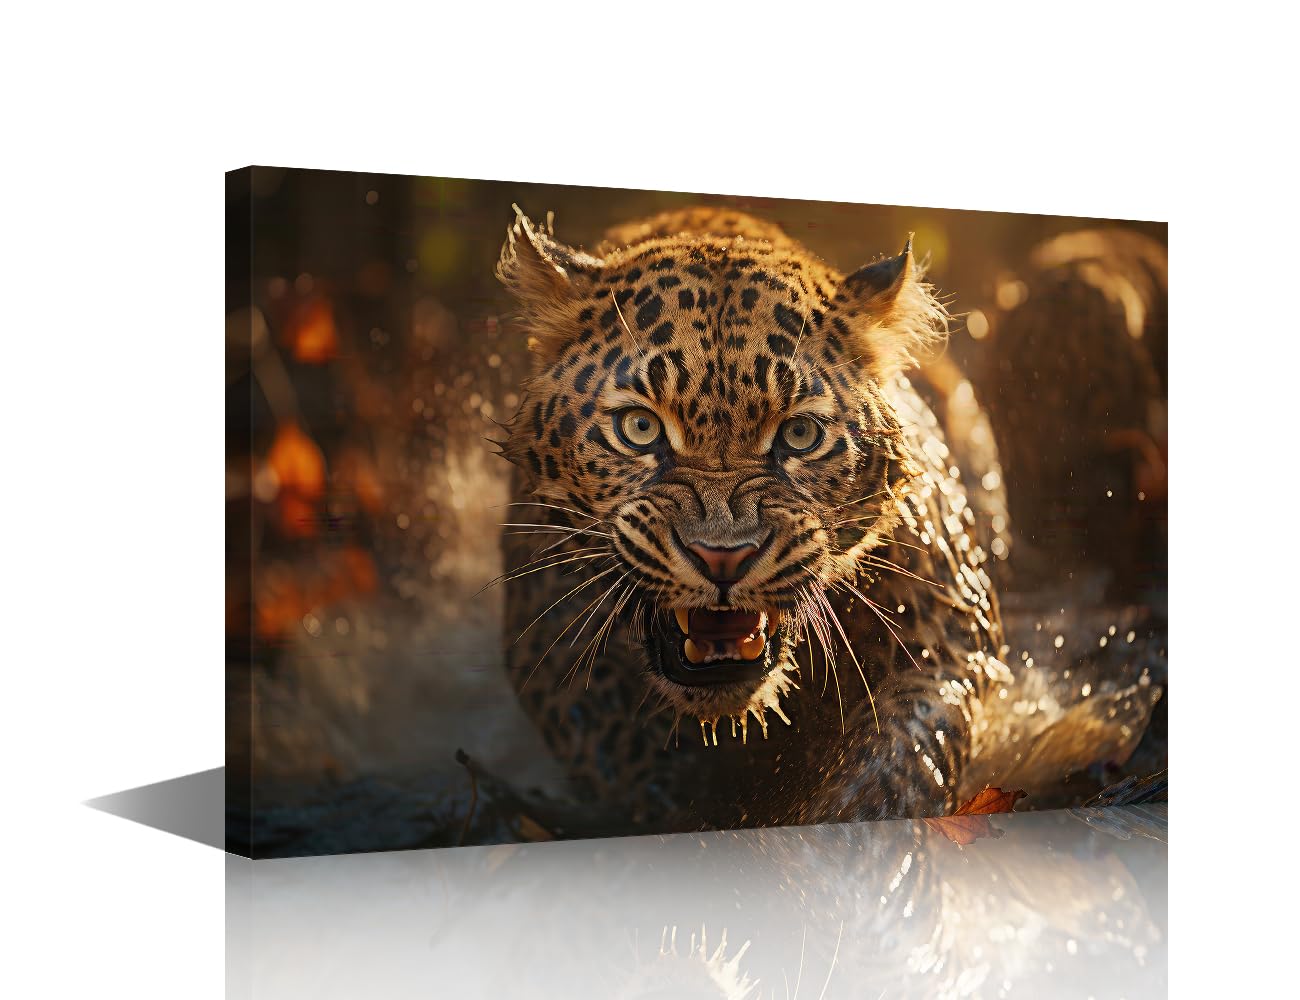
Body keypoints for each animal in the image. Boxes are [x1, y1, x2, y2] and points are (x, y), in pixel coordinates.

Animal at [492, 205, 1163, 833]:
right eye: (639, 428)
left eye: (800, 435)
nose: (722, 557)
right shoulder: (559, 663)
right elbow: (639, 770)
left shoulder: (948, 639)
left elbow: (903, 755)